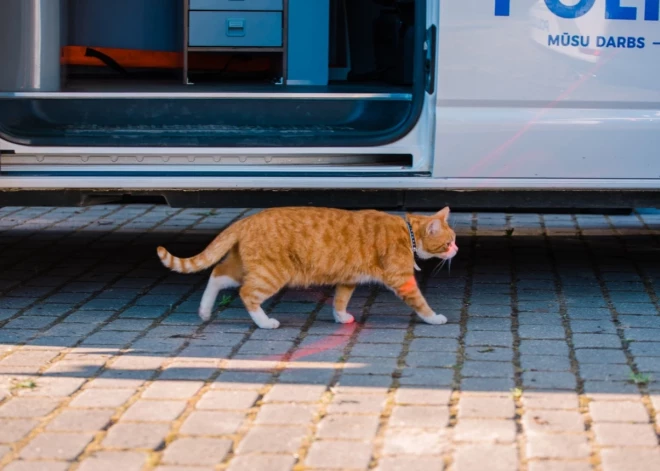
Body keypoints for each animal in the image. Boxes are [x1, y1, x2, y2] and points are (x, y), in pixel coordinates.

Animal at [159, 208, 458, 330]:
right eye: (448, 242)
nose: (456, 250)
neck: (407, 233)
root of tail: (248, 219)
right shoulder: (401, 279)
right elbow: (420, 303)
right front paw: (434, 318)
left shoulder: (348, 279)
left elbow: (340, 300)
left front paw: (341, 317)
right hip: (272, 274)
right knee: (247, 294)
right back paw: (265, 322)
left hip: (242, 266)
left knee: (216, 275)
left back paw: (204, 311)